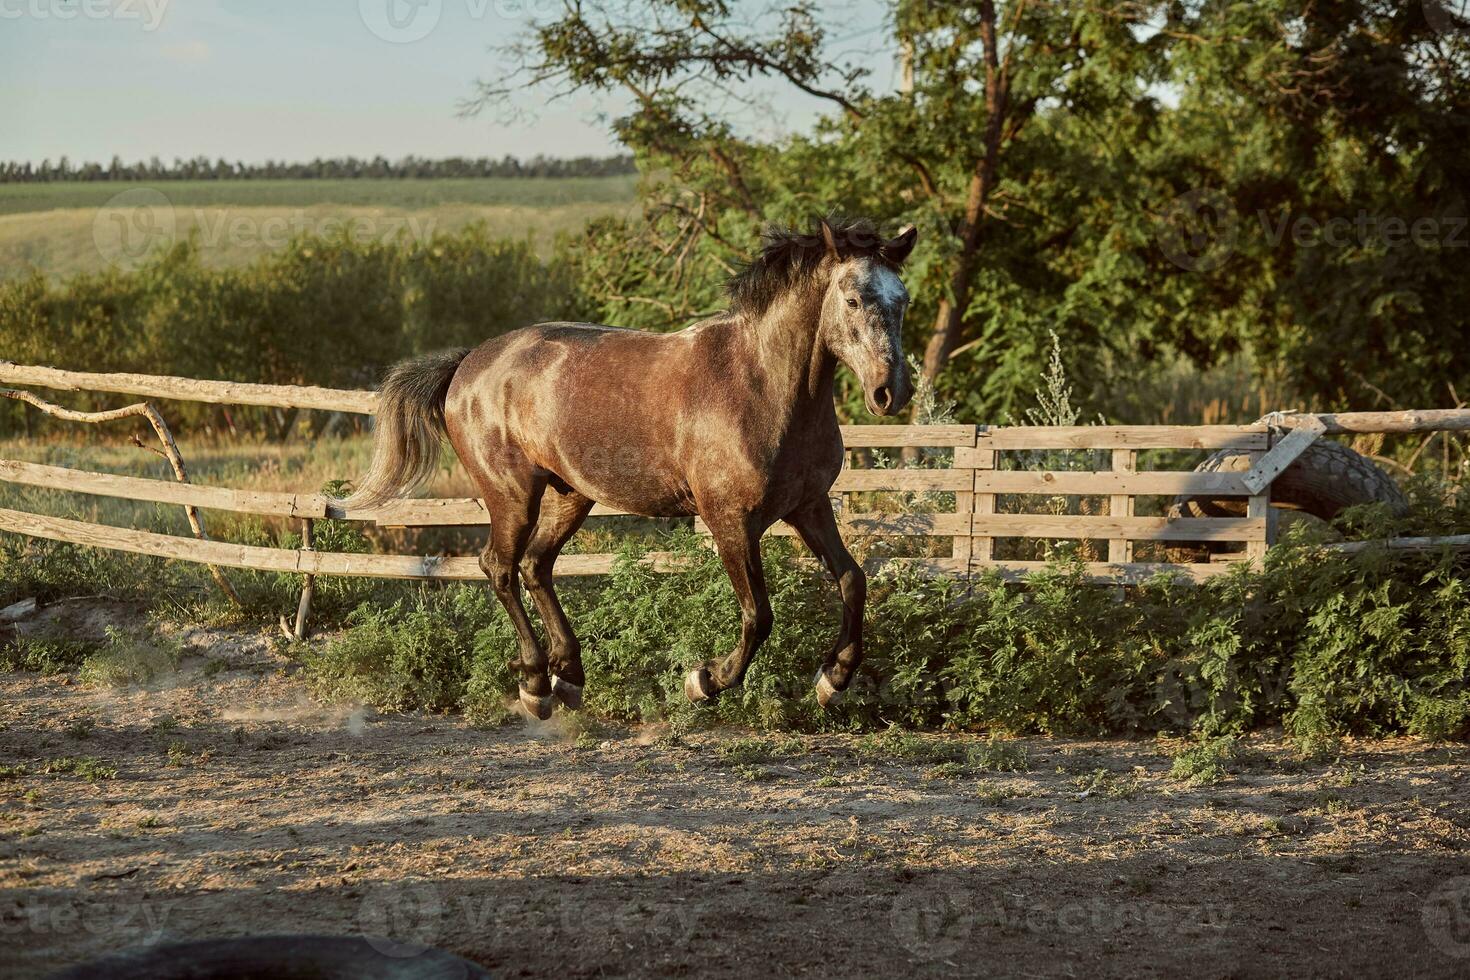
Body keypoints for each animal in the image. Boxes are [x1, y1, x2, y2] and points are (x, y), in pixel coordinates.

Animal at [343, 215, 917, 719]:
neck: (761, 385)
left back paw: (569, 678)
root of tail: (467, 364)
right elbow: (759, 616)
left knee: (535, 566)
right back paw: (535, 686)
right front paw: (704, 680)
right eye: (852, 299)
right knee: (500, 568)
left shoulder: (809, 507)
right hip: (512, 494)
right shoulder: (731, 521)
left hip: (571, 495)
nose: (891, 392)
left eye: (902, 300)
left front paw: (832, 681)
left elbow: (852, 581)